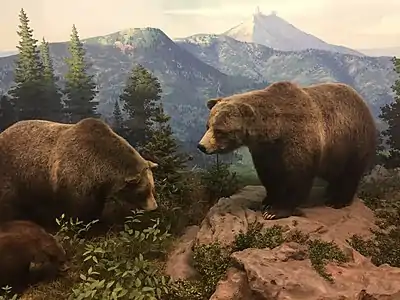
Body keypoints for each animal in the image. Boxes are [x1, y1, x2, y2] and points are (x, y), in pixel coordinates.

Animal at [0, 117, 159, 227]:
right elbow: (78, 212)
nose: (154, 208)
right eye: (142, 192)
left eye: (153, 188)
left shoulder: (97, 188)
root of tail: (4, 131)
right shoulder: (74, 180)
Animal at [198, 81, 378, 219]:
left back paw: (338, 200)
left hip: (353, 142)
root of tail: (362, 101)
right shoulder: (265, 151)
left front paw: (276, 210)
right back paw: (329, 191)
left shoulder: (298, 139)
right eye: (208, 126)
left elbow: (297, 177)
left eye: (219, 130)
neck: (274, 131)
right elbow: (269, 175)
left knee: (350, 173)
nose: (202, 146)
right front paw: (268, 200)